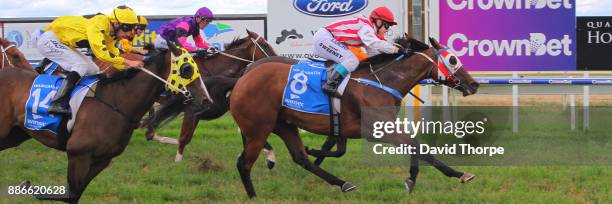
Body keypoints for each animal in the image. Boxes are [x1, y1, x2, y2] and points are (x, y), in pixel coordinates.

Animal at [0, 41, 208, 202]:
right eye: (187, 69)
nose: (206, 100)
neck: (116, 102)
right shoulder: (78, 155)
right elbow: (70, 194)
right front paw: (27, 186)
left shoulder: (102, 160)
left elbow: (75, 194)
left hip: (15, 134)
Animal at [232, 35, 480, 197]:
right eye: (453, 60)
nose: (474, 84)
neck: (381, 82)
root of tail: (245, 75)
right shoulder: (380, 128)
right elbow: (418, 147)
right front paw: (419, 179)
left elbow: (414, 147)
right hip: (258, 130)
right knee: (244, 164)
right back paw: (254, 197)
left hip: (284, 124)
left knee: (301, 158)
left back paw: (342, 183)